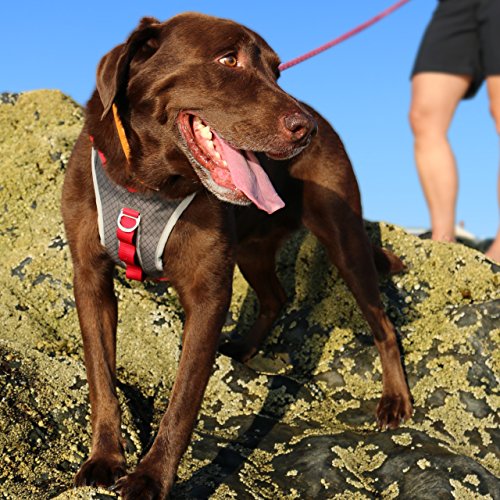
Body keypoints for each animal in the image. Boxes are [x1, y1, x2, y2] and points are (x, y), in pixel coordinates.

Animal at [62, 12, 413, 498]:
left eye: (276, 71)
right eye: (228, 60)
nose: (305, 130)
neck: (149, 184)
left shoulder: (207, 295)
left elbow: (183, 400)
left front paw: (151, 478)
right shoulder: (90, 278)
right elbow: (100, 376)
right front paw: (105, 458)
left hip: (345, 242)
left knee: (382, 324)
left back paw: (395, 400)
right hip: (251, 250)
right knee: (275, 297)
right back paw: (245, 347)